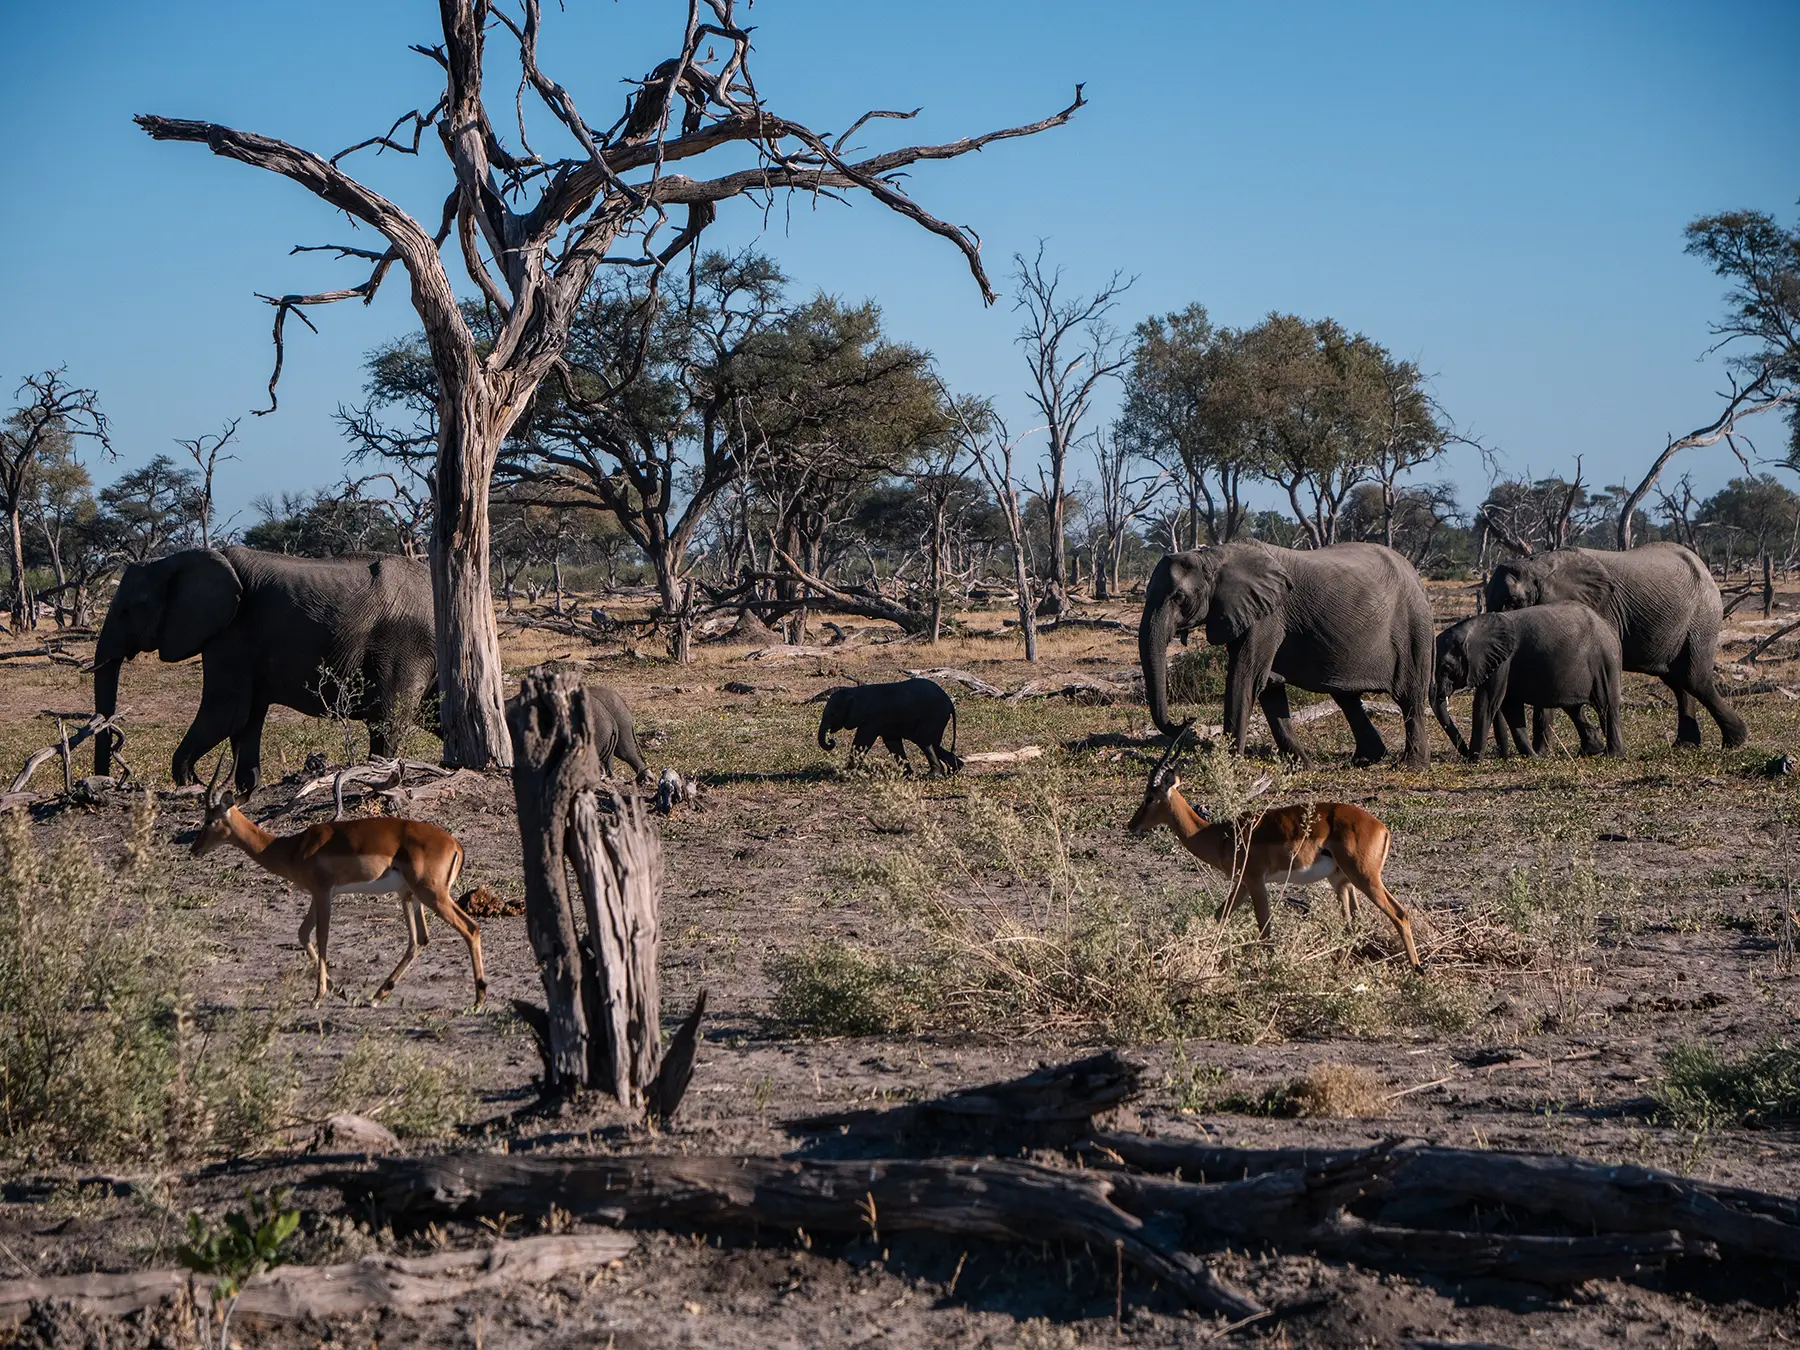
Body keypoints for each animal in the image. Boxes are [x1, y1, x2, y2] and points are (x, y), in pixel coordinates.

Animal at [93, 546, 437, 797]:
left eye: (126, 612)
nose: (104, 784)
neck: (174, 559)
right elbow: (246, 717)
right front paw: (246, 789)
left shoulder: (231, 631)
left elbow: (226, 713)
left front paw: (193, 784)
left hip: (405, 645)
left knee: (388, 719)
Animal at [817, 678, 962, 774]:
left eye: (832, 714)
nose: (831, 741)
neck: (855, 692)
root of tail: (950, 703)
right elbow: (893, 744)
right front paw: (907, 775)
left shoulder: (872, 719)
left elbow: (862, 742)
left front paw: (846, 773)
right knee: (933, 744)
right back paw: (956, 769)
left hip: (934, 716)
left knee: (925, 742)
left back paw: (935, 774)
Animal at [1138, 541, 1435, 769]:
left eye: (1178, 597)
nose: (1186, 721)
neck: (1213, 556)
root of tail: (1415, 574)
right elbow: (1269, 686)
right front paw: (1304, 767)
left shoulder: (1268, 616)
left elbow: (1246, 676)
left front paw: (1228, 766)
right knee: (1347, 698)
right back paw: (1366, 760)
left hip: (1415, 628)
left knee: (1410, 698)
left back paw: (1410, 766)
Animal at [1433, 604, 1625, 760]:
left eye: (1446, 668)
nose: (1464, 752)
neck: (1472, 626)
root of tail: (1609, 628)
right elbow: (1510, 706)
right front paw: (1533, 757)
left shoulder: (1502, 662)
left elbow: (1487, 702)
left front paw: (1473, 761)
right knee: (1574, 708)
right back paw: (1590, 751)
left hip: (1605, 662)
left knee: (1606, 706)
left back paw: (1611, 756)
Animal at [1484, 543, 1745, 748]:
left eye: (1513, 602)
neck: (1536, 565)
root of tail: (1703, 566)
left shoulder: (1600, 609)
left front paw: (1544, 752)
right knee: (1677, 680)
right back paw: (1685, 746)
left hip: (1703, 615)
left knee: (1693, 677)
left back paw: (1736, 740)